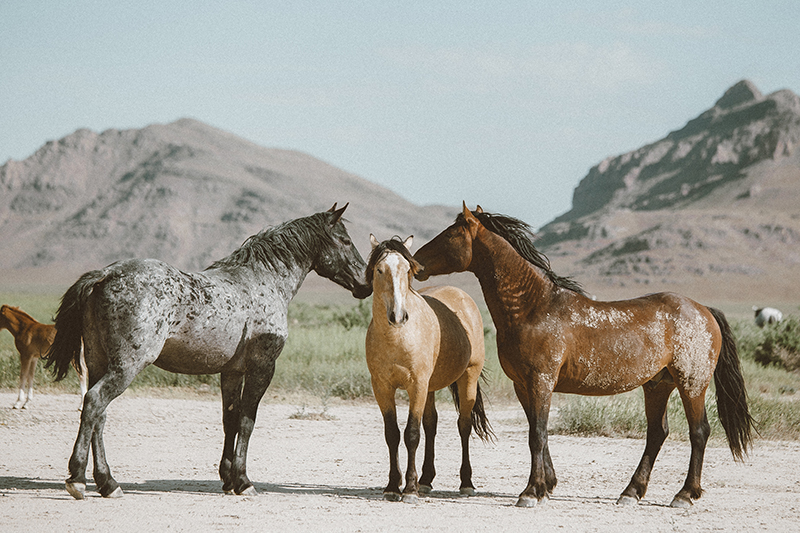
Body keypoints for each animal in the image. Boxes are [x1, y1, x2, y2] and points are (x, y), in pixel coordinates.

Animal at [48, 204, 374, 498]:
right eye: (345, 240)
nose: (366, 283)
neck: (263, 281)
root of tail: (105, 275)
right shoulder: (262, 368)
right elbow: (247, 421)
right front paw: (243, 481)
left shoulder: (231, 372)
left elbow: (230, 420)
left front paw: (228, 479)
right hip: (126, 367)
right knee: (94, 403)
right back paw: (78, 479)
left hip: (100, 363)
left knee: (98, 416)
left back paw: (108, 483)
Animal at [364, 235, 490, 500]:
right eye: (379, 270)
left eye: (407, 270)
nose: (398, 316)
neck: (397, 338)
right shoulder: (382, 388)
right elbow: (392, 434)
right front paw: (393, 486)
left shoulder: (417, 386)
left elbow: (412, 434)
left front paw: (410, 489)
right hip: (431, 388)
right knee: (431, 425)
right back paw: (426, 479)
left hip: (467, 378)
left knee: (464, 425)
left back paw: (466, 482)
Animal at [412, 204, 756, 508]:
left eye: (451, 233)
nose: (415, 263)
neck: (533, 307)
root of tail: (702, 309)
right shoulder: (523, 385)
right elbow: (538, 430)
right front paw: (547, 486)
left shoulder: (541, 380)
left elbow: (537, 434)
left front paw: (530, 492)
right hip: (658, 385)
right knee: (657, 434)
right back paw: (631, 492)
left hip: (691, 384)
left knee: (699, 433)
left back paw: (684, 495)